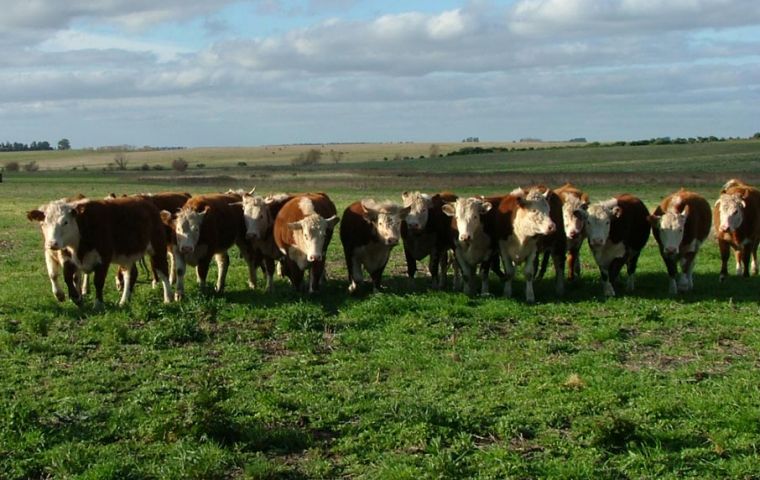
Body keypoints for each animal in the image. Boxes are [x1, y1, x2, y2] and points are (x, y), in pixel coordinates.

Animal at [27, 195, 172, 308]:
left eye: (65, 222)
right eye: (43, 223)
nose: (52, 244)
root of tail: (147, 202)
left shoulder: (103, 258)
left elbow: (98, 281)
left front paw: (98, 304)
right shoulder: (68, 258)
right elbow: (68, 278)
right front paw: (76, 298)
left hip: (157, 249)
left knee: (163, 271)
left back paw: (168, 299)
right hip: (127, 256)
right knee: (130, 275)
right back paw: (124, 301)